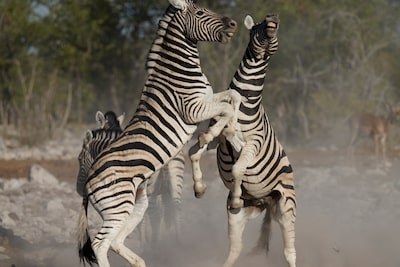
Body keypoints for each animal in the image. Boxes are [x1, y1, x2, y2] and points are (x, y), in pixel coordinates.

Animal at [77, 1, 242, 266]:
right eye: (200, 13)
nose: (234, 24)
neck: (179, 71)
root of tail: (89, 183)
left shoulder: (206, 99)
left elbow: (233, 98)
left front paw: (234, 136)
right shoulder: (192, 108)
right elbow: (227, 107)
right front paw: (210, 136)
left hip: (135, 204)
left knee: (115, 241)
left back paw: (141, 262)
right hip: (118, 205)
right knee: (100, 244)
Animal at [189, 14, 296, 267]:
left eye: (276, 29)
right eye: (258, 26)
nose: (272, 19)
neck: (246, 101)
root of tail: (265, 202)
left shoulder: (254, 144)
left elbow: (238, 166)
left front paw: (237, 194)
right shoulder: (215, 139)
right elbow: (197, 150)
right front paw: (199, 187)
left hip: (286, 208)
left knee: (290, 252)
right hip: (236, 217)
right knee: (235, 249)